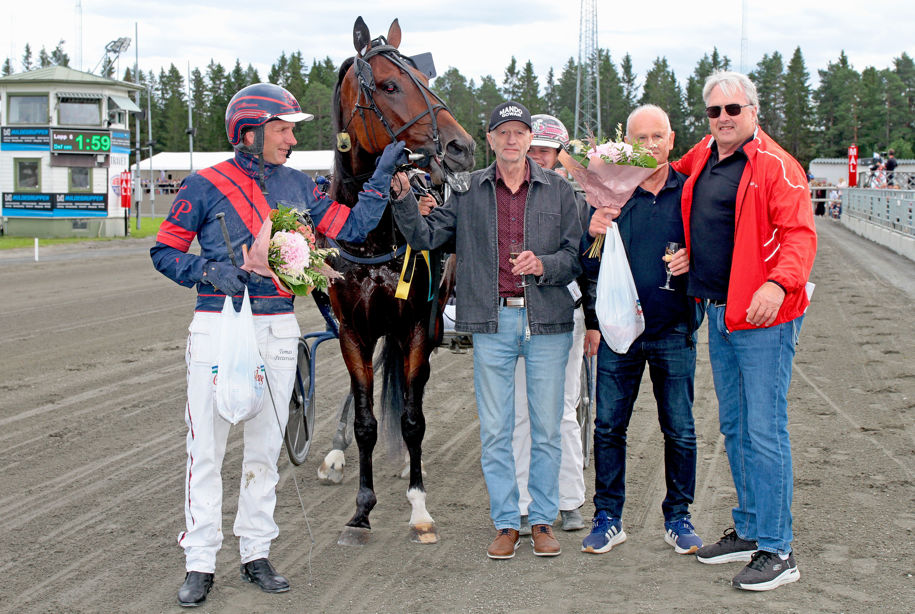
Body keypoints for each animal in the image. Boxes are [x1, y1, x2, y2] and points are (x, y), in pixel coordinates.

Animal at [319, 16, 474, 546]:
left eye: (426, 78)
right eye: (389, 85)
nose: (462, 147)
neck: (372, 236)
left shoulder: (414, 327)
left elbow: (412, 418)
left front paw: (418, 507)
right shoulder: (353, 330)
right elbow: (367, 421)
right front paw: (361, 510)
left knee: (415, 392)